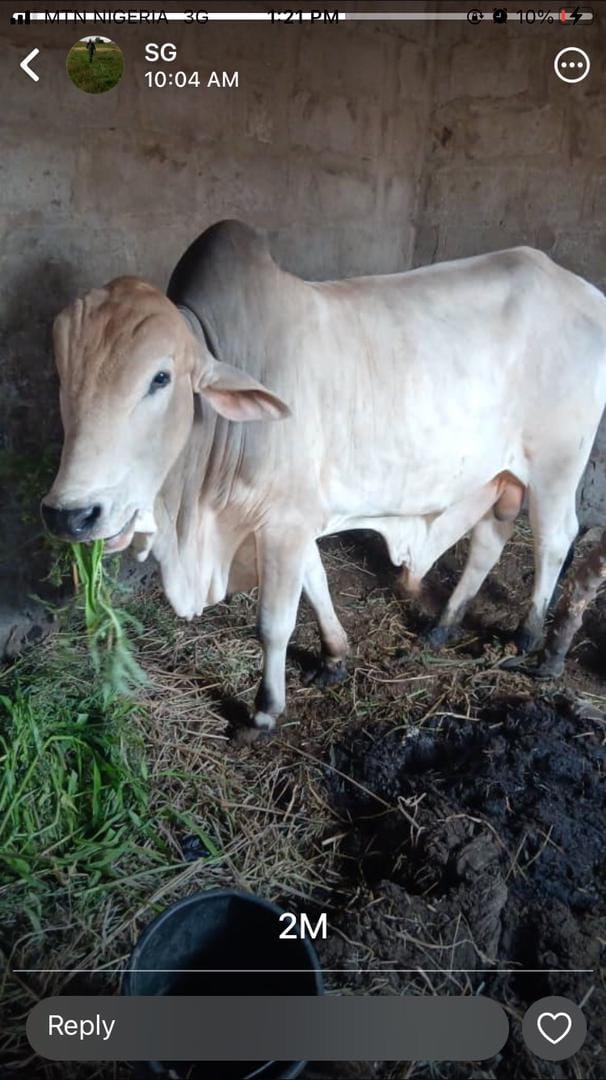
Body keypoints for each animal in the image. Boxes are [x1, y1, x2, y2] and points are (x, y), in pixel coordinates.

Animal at [41, 220, 606, 729]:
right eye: (64, 376)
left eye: (160, 378)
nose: (72, 514)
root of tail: (583, 290)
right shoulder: (292, 517)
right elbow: (315, 583)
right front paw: (335, 656)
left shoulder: (284, 522)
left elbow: (274, 623)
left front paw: (264, 710)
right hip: (501, 475)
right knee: (490, 539)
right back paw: (443, 627)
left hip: (556, 464)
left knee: (555, 539)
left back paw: (537, 643)